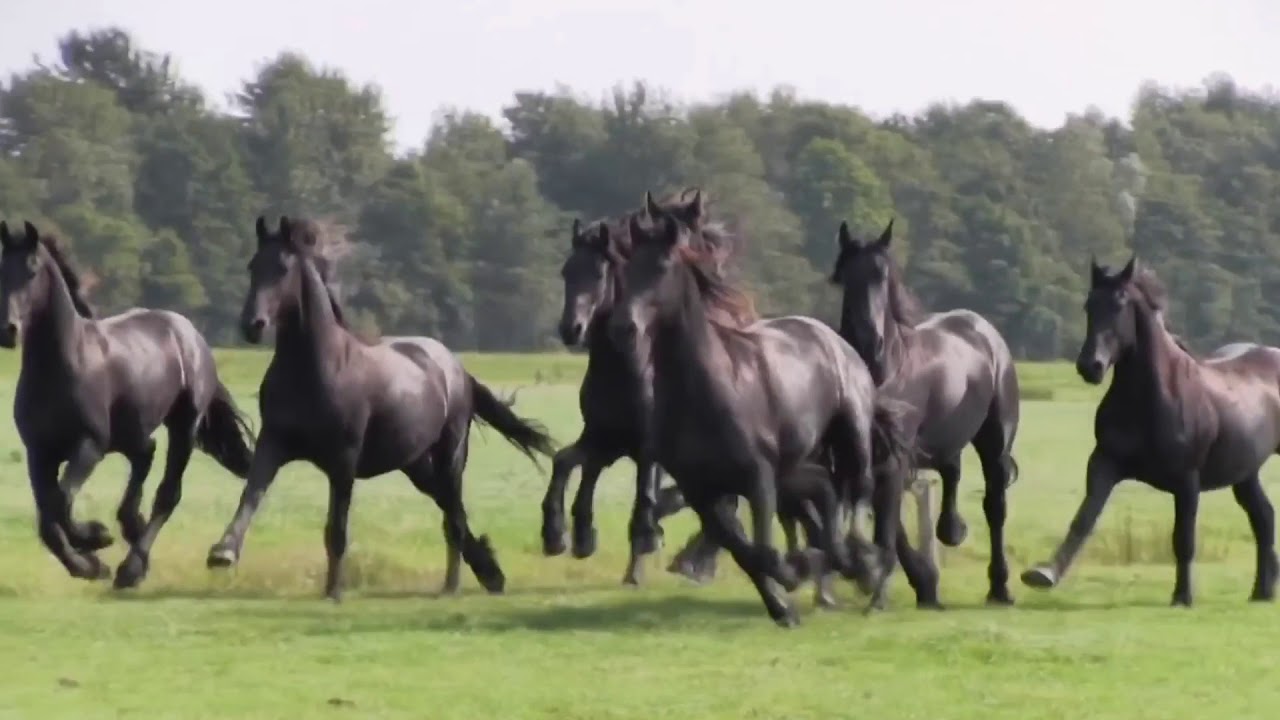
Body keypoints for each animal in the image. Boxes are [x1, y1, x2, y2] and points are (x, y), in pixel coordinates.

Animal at [0, 220, 255, 589]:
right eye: (1, 269)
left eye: (32, 270)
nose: (8, 330)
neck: (64, 364)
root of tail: (190, 333)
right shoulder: (39, 453)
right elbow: (47, 519)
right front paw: (90, 564)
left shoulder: (89, 445)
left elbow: (61, 502)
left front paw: (96, 538)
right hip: (132, 431)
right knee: (146, 455)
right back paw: (131, 532)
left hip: (183, 427)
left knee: (167, 493)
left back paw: (131, 567)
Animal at [205, 216, 557, 600]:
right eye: (253, 266)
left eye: (283, 269)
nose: (251, 325)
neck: (318, 366)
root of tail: (457, 369)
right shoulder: (274, 443)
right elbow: (251, 494)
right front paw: (223, 552)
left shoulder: (343, 461)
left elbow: (337, 528)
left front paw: (334, 592)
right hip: (416, 465)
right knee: (453, 514)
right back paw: (489, 576)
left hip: (450, 456)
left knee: (454, 517)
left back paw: (452, 586)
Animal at [607, 193, 917, 626]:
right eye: (625, 266)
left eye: (662, 266)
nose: (623, 328)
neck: (708, 388)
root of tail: (836, 340)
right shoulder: (702, 490)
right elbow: (746, 553)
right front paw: (783, 606)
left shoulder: (759, 478)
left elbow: (766, 551)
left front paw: (799, 572)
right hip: (798, 467)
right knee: (826, 491)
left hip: (851, 435)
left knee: (860, 487)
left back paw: (863, 564)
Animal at [831, 219, 1021, 605]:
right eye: (846, 277)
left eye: (882, 275)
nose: (868, 342)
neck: (885, 372)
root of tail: (984, 331)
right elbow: (888, 519)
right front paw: (920, 582)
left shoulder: (894, 456)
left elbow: (887, 521)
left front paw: (883, 582)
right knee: (952, 472)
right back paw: (952, 530)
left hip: (995, 442)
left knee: (995, 506)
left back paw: (1000, 587)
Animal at [1021, 257, 1280, 605]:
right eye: (1089, 305)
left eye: (1120, 305)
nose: (1090, 366)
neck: (1153, 398)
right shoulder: (1104, 463)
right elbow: (1084, 518)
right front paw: (1044, 574)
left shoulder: (1187, 480)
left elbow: (1183, 538)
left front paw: (1182, 597)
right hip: (1245, 473)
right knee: (1264, 519)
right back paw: (1261, 592)